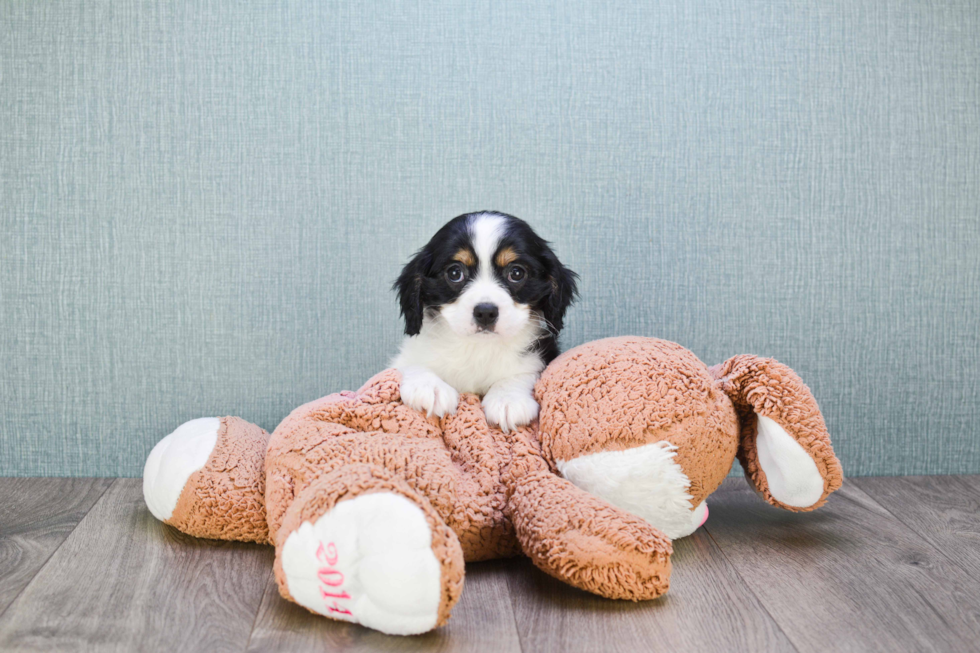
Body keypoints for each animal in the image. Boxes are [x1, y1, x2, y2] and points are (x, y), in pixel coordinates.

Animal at [390, 211, 576, 430]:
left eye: (516, 273)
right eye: (455, 273)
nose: (486, 312)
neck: (478, 348)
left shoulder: (540, 356)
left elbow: (522, 373)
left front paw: (507, 399)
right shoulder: (407, 356)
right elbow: (411, 363)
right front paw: (429, 387)